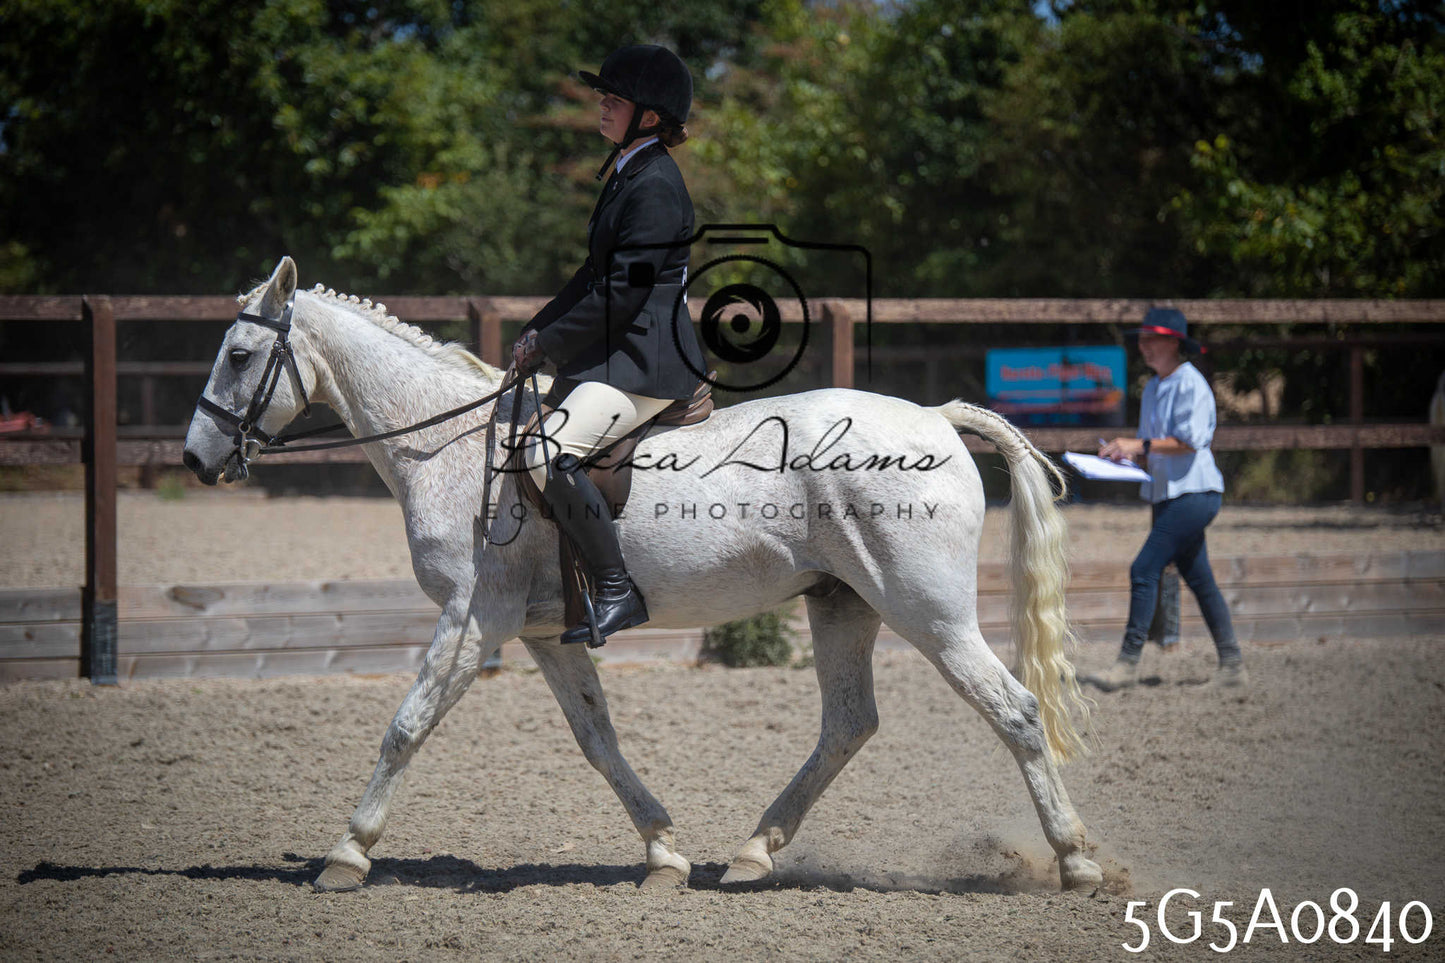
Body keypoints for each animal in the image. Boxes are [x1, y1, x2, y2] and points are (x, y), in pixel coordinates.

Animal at [182, 257, 1103, 894]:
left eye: (239, 354)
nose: (195, 460)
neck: (447, 447)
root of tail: (934, 419)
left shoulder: (472, 617)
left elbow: (406, 726)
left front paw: (346, 853)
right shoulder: (547, 633)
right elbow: (599, 741)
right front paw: (662, 851)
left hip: (926, 610)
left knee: (1013, 709)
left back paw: (1076, 862)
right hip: (844, 603)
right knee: (848, 722)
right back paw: (751, 852)